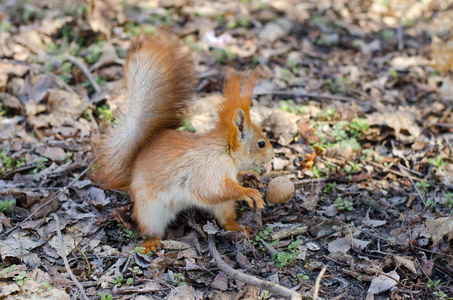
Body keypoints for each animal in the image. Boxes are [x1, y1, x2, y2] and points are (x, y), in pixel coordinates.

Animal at [94, 32, 272, 253]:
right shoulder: (209, 169)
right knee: (152, 229)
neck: (226, 151)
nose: (273, 155)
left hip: (222, 206)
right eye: (261, 144)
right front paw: (248, 192)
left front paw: (249, 175)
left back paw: (237, 226)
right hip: (149, 209)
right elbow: (213, 189)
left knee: (224, 218)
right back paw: (151, 243)